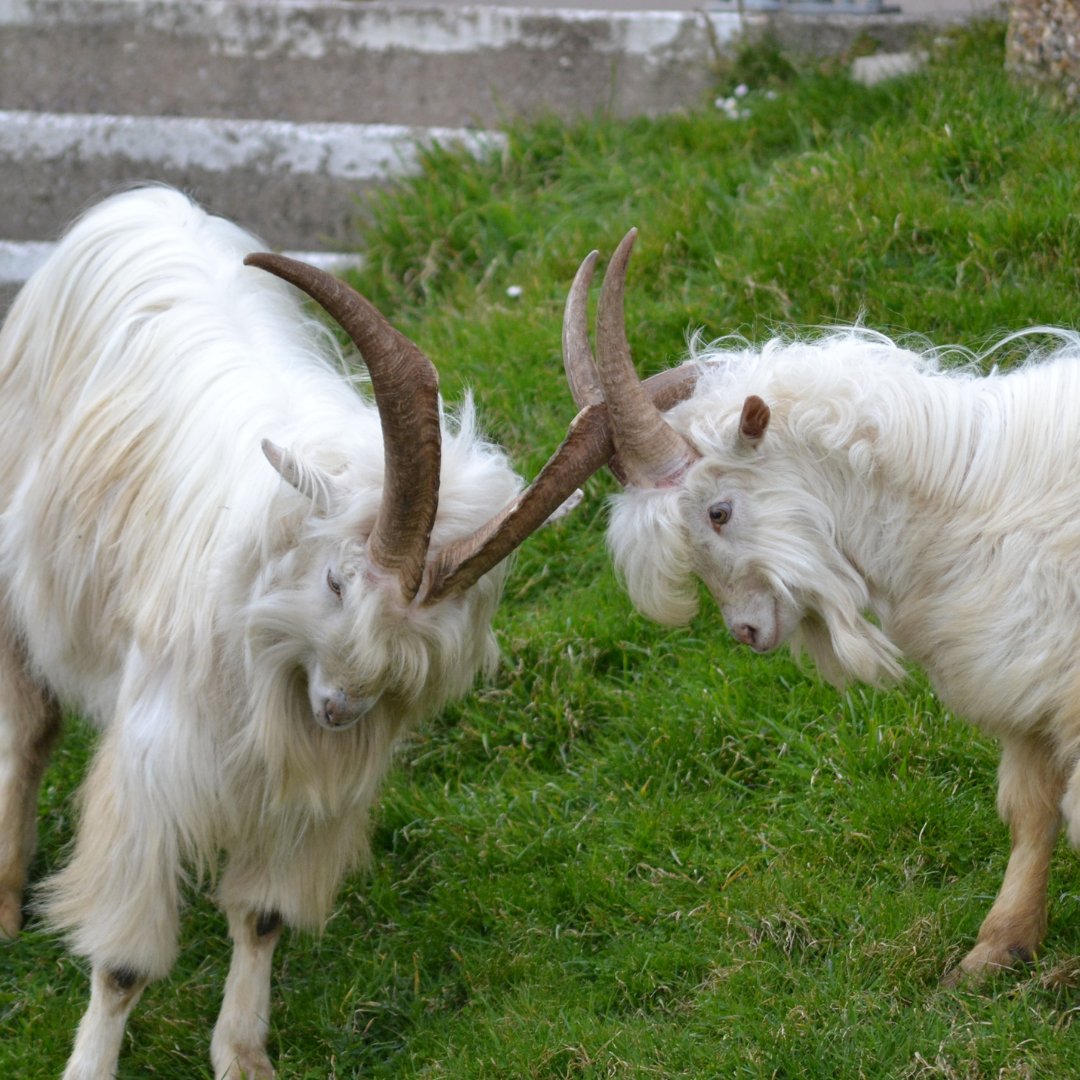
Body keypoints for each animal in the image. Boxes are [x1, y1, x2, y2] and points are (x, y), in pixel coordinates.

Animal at [0, 185, 668, 1080]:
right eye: (337, 581)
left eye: (437, 630)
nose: (342, 708)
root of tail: (143, 202)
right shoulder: (155, 767)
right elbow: (124, 963)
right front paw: (91, 1067)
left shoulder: (311, 794)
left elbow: (263, 918)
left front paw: (243, 1054)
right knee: (29, 730)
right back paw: (8, 899)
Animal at [562, 228, 1080, 985]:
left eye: (718, 511)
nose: (746, 631)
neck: (968, 496)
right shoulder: (1024, 684)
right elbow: (1031, 812)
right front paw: (996, 950)